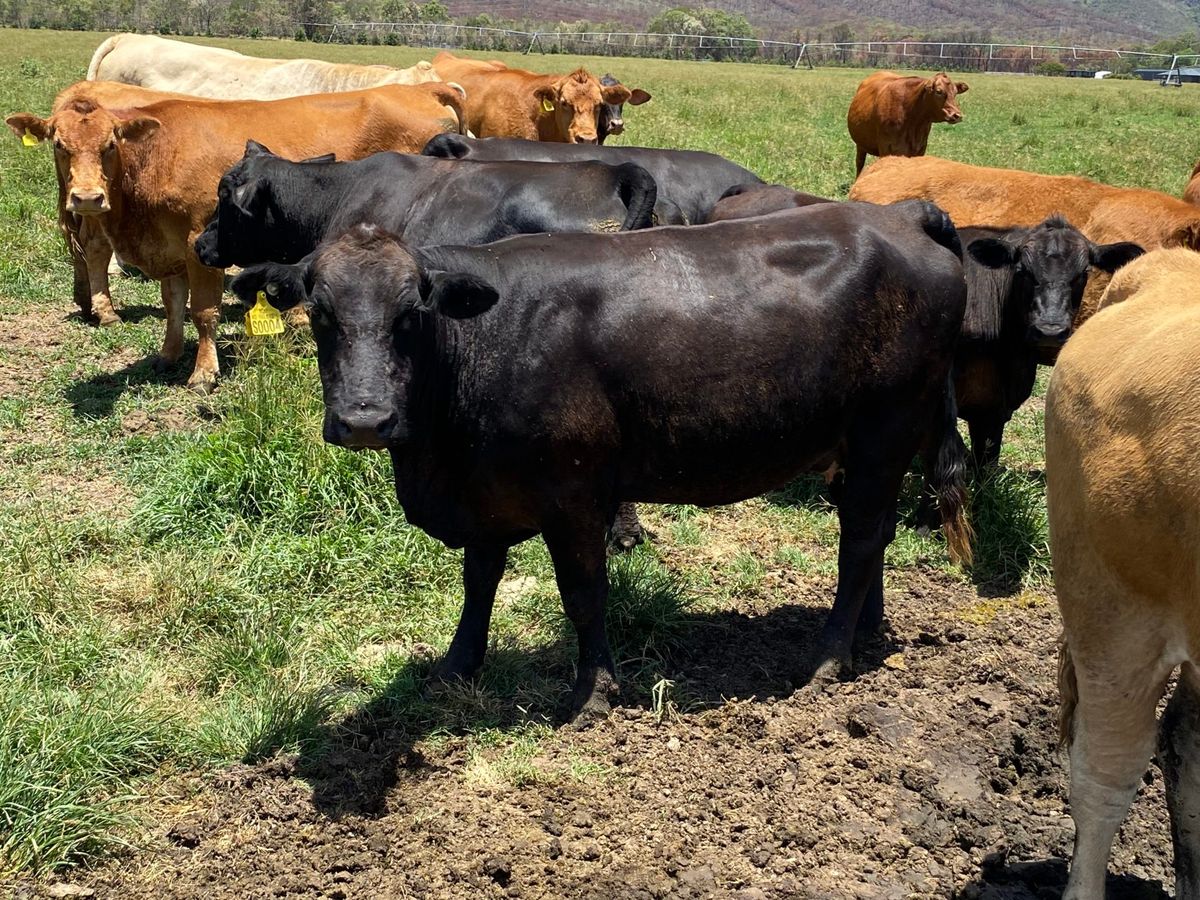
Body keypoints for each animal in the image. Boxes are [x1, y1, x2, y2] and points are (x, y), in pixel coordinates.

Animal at [6, 79, 466, 393]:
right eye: (60, 145)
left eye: (110, 145)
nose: (87, 198)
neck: (158, 155)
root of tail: (420, 86)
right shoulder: (170, 250)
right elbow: (173, 305)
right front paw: (169, 353)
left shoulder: (198, 243)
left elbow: (203, 311)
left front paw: (204, 372)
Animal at [229, 200, 972, 721]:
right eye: (320, 313)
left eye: (412, 313)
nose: (365, 420)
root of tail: (902, 213)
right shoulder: (486, 492)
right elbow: (479, 582)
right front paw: (457, 665)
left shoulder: (575, 493)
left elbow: (583, 594)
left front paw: (594, 693)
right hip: (863, 450)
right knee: (874, 534)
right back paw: (865, 635)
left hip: (883, 434)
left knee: (860, 541)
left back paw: (827, 658)